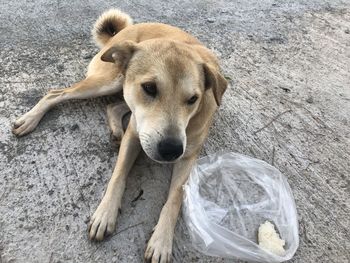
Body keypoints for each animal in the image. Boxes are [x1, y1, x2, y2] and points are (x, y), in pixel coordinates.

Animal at [12, 9, 227, 262]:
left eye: (193, 99)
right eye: (149, 88)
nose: (171, 150)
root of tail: (123, 32)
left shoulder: (188, 156)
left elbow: (175, 198)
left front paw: (161, 240)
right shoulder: (135, 136)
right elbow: (118, 175)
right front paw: (105, 213)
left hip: (121, 91)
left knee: (113, 106)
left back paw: (115, 130)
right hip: (108, 82)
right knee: (56, 93)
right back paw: (30, 119)